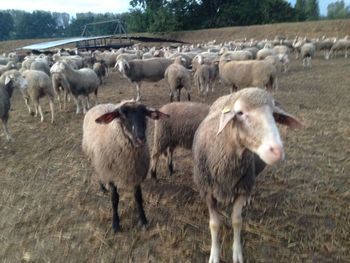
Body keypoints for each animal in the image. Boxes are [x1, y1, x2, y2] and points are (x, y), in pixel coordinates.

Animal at [82, 100, 170, 232]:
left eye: (145, 113)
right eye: (122, 115)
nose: (140, 138)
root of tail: (99, 105)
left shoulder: (136, 172)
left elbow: (138, 197)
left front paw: (143, 220)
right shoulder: (110, 173)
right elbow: (114, 199)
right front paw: (115, 224)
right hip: (94, 158)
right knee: (98, 172)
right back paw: (102, 187)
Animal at [193, 87, 302, 263]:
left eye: (274, 114)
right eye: (240, 113)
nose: (277, 151)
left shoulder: (243, 188)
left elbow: (237, 221)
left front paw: (237, 252)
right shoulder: (207, 191)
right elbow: (215, 224)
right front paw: (214, 254)